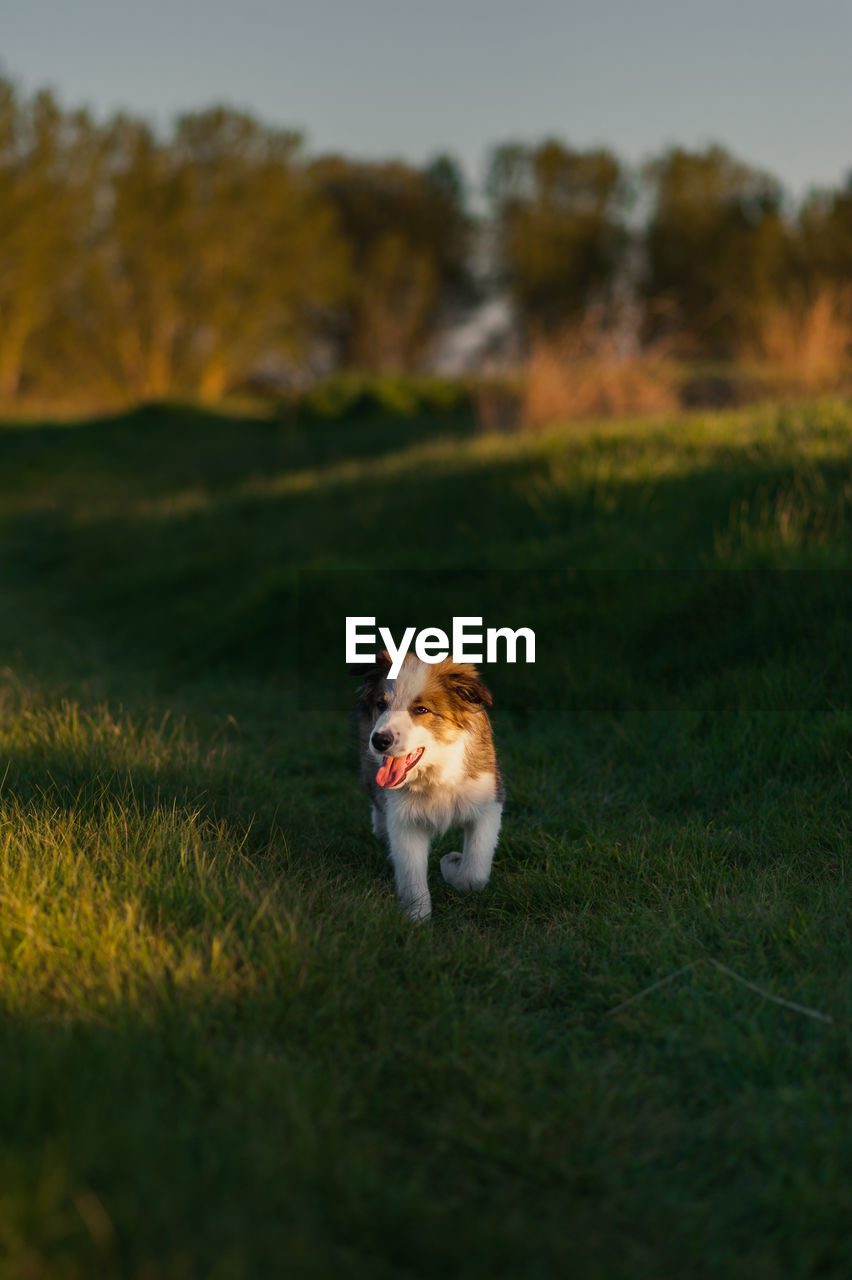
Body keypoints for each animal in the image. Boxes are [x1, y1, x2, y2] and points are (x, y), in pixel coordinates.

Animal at [355, 650, 501, 921]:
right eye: (381, 704)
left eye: (421, 709)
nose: (380, 740)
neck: (436, 771)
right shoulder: (403, 818)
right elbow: (411, 873)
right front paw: (417, 917)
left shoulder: (488, 801)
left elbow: (474, 873)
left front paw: (451, 864)